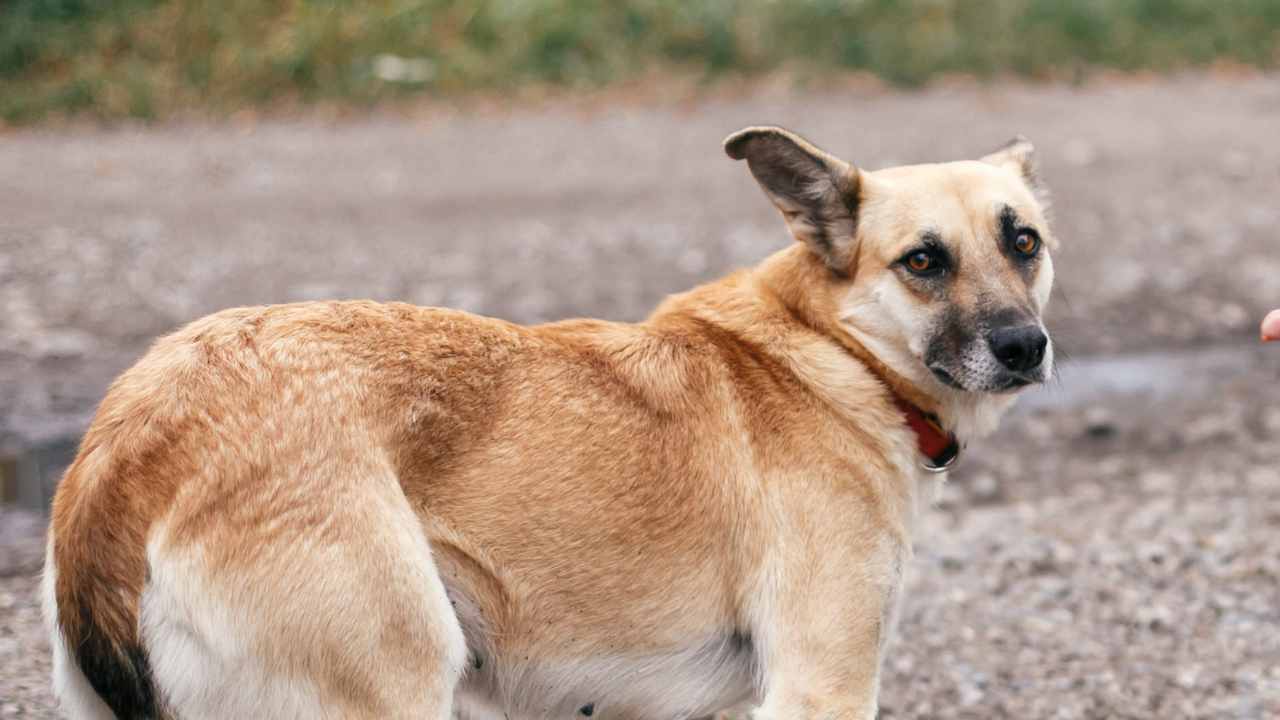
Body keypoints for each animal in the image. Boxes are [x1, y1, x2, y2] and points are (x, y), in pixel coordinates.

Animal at [45, 126, 1054, 712]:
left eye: (1024, 241)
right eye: (923, 261)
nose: (1026, 347)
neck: (833, 355)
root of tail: (134, 445)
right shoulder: (823, 680)